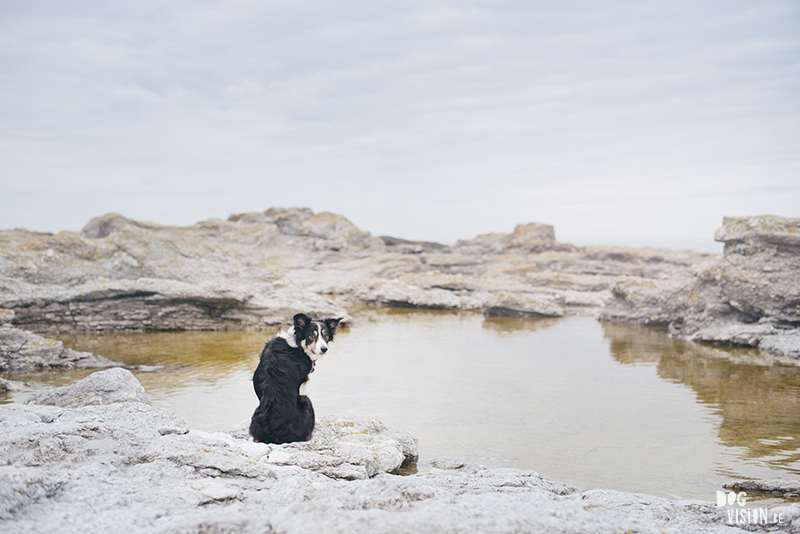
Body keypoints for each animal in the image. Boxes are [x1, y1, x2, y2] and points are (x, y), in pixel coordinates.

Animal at [247, 312, 340, 446]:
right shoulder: (302, 384)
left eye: (326, 335)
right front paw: (317, 421)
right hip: (306, 400)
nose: (324, 349)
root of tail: (277, 433)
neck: (297, 342)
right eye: (312, 335)